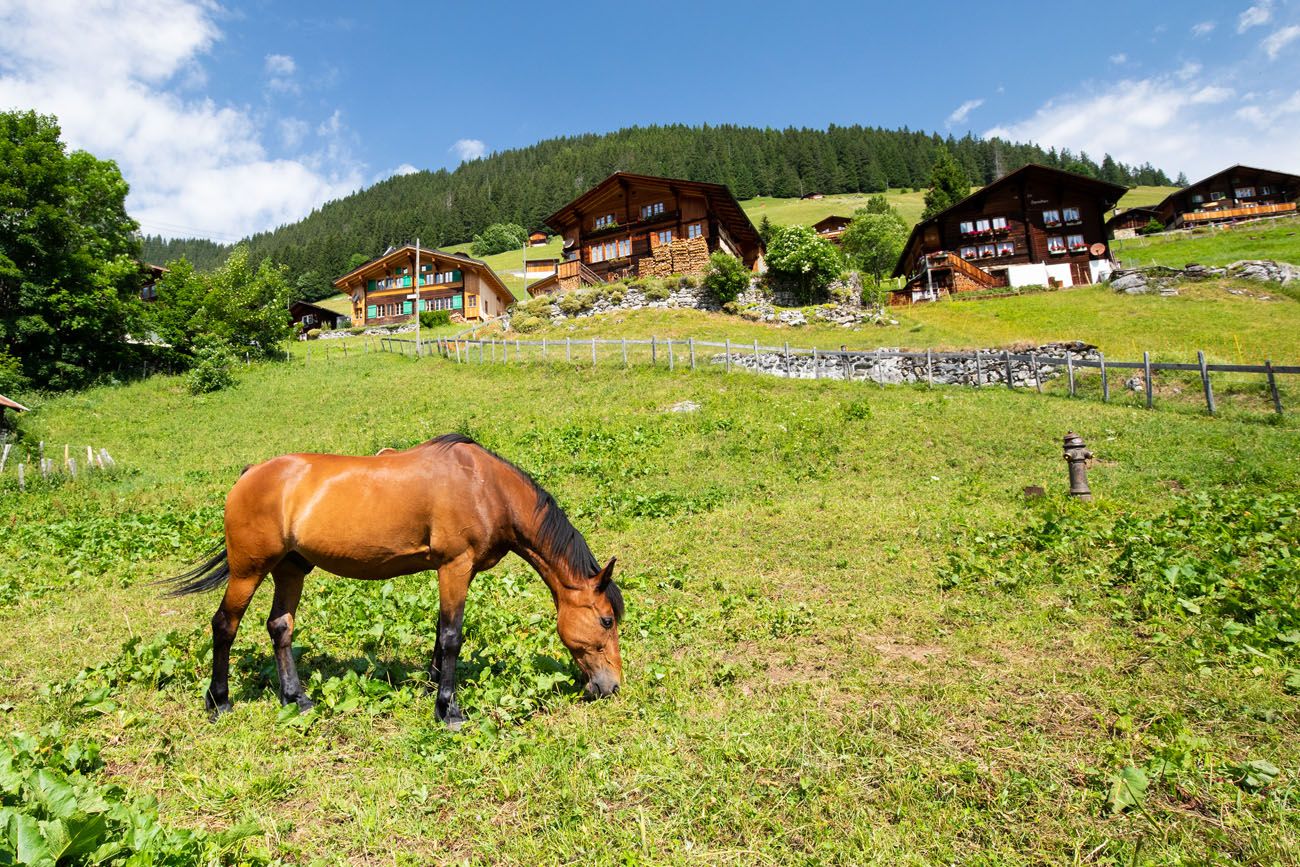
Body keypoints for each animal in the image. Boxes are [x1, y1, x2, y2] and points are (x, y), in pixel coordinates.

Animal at [163, 434, 624, 727]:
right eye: (606, 620)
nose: (611, 687)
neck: (485, 487)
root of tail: (251, 473)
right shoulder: (455, 566)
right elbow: (453, 635)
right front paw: (448, 710)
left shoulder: (452, 571)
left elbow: (441, 630)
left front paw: (436, 685)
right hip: (249, 569)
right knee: (225, 625)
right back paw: (219, 702)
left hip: (291, 568)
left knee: (280, 626)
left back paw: (297, 699)